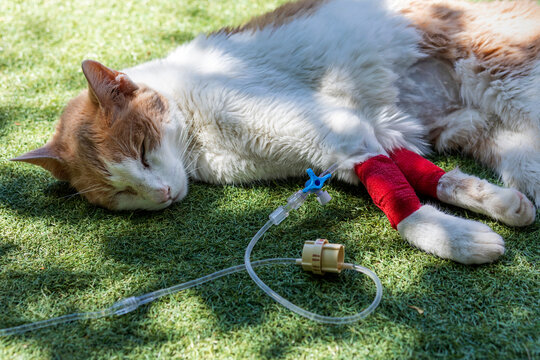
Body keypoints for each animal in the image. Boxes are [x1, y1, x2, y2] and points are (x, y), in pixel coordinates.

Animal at [10, 0, 536, 264]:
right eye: (119, 194)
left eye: (141, 150)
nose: (160, 194)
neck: (200, 145)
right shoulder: (357, 141)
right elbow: (416, 175)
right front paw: (496, 206)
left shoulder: (338, 129)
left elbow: (401, 201)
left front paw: (453, 238)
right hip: (484, 126)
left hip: (507, 78)